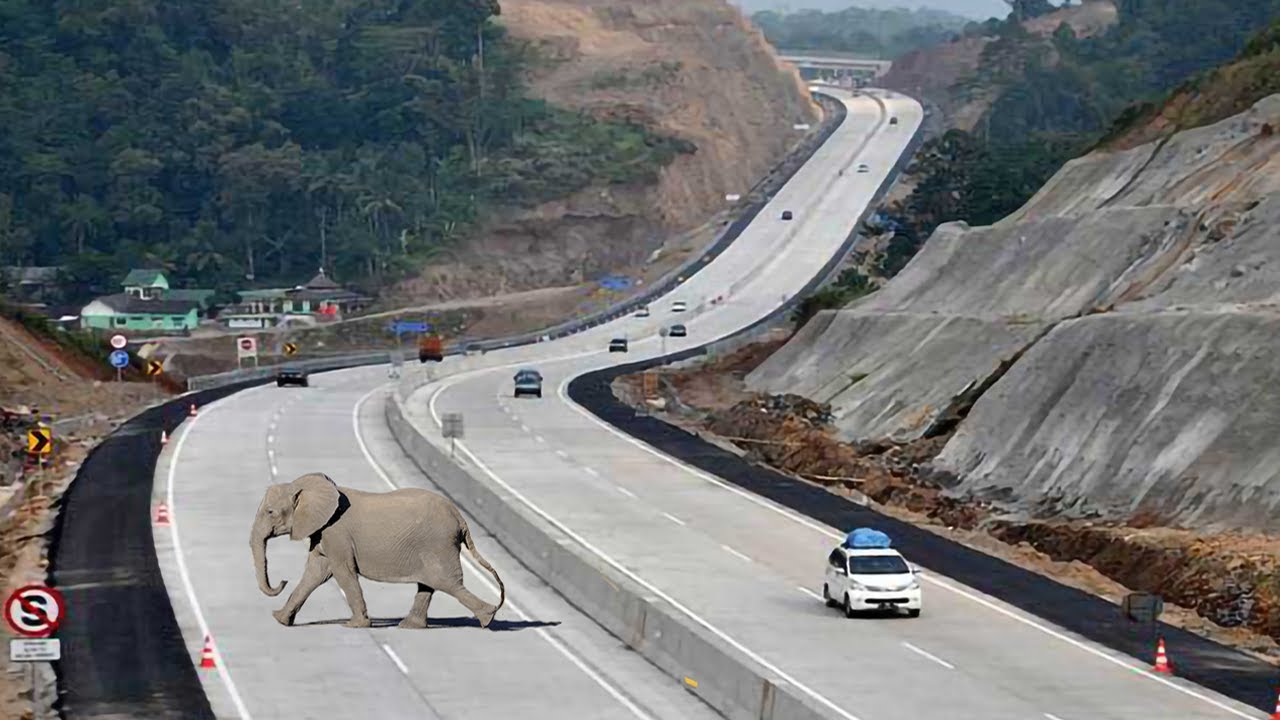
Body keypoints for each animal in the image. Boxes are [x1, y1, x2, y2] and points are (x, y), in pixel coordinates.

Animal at [249, 468, 504, 625]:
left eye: (270, 512)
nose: (282, 581)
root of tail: (460, 517)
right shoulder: (323, 532)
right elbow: (315, 573)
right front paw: (279, 620)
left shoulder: (336, 533)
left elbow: (342, 573)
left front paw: (355, 626)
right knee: (430, 583)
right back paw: (410, 626)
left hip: (438, 544)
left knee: (447, 582)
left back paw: (488, 618)